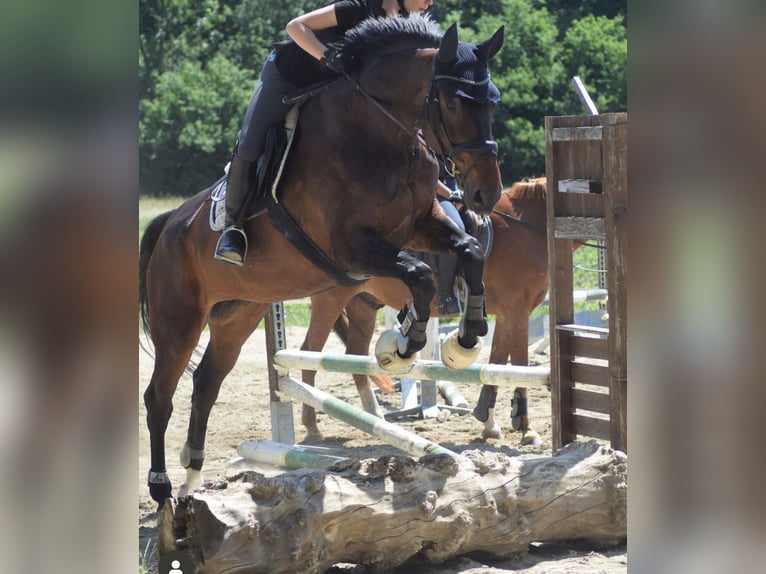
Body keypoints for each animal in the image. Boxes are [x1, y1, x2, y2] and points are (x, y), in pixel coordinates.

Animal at [140, 15, 508, 506]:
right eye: (451, 101)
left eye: (493, 101)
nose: (486, 194)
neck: (379, 135)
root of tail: (170, 223)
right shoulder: (350, 247)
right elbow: (420, 273)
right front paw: (404, 344)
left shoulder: (419, 225)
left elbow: (467, 250)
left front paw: (465, 338)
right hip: (179, 321)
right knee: (160, 396)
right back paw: (161, 487)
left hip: (238, 315)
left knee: (205, 384)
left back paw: (193, 479)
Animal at [304, 180, 548, 446]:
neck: (525, 229)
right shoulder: (517, 313)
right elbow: (520, 365)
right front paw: (527, 430)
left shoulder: (507, 315)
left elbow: (497, 365)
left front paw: (489, 424)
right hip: (330, 302)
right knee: (309, 353)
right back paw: (312, 428)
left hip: (363, 306)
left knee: (355, 355)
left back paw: (376, 418)